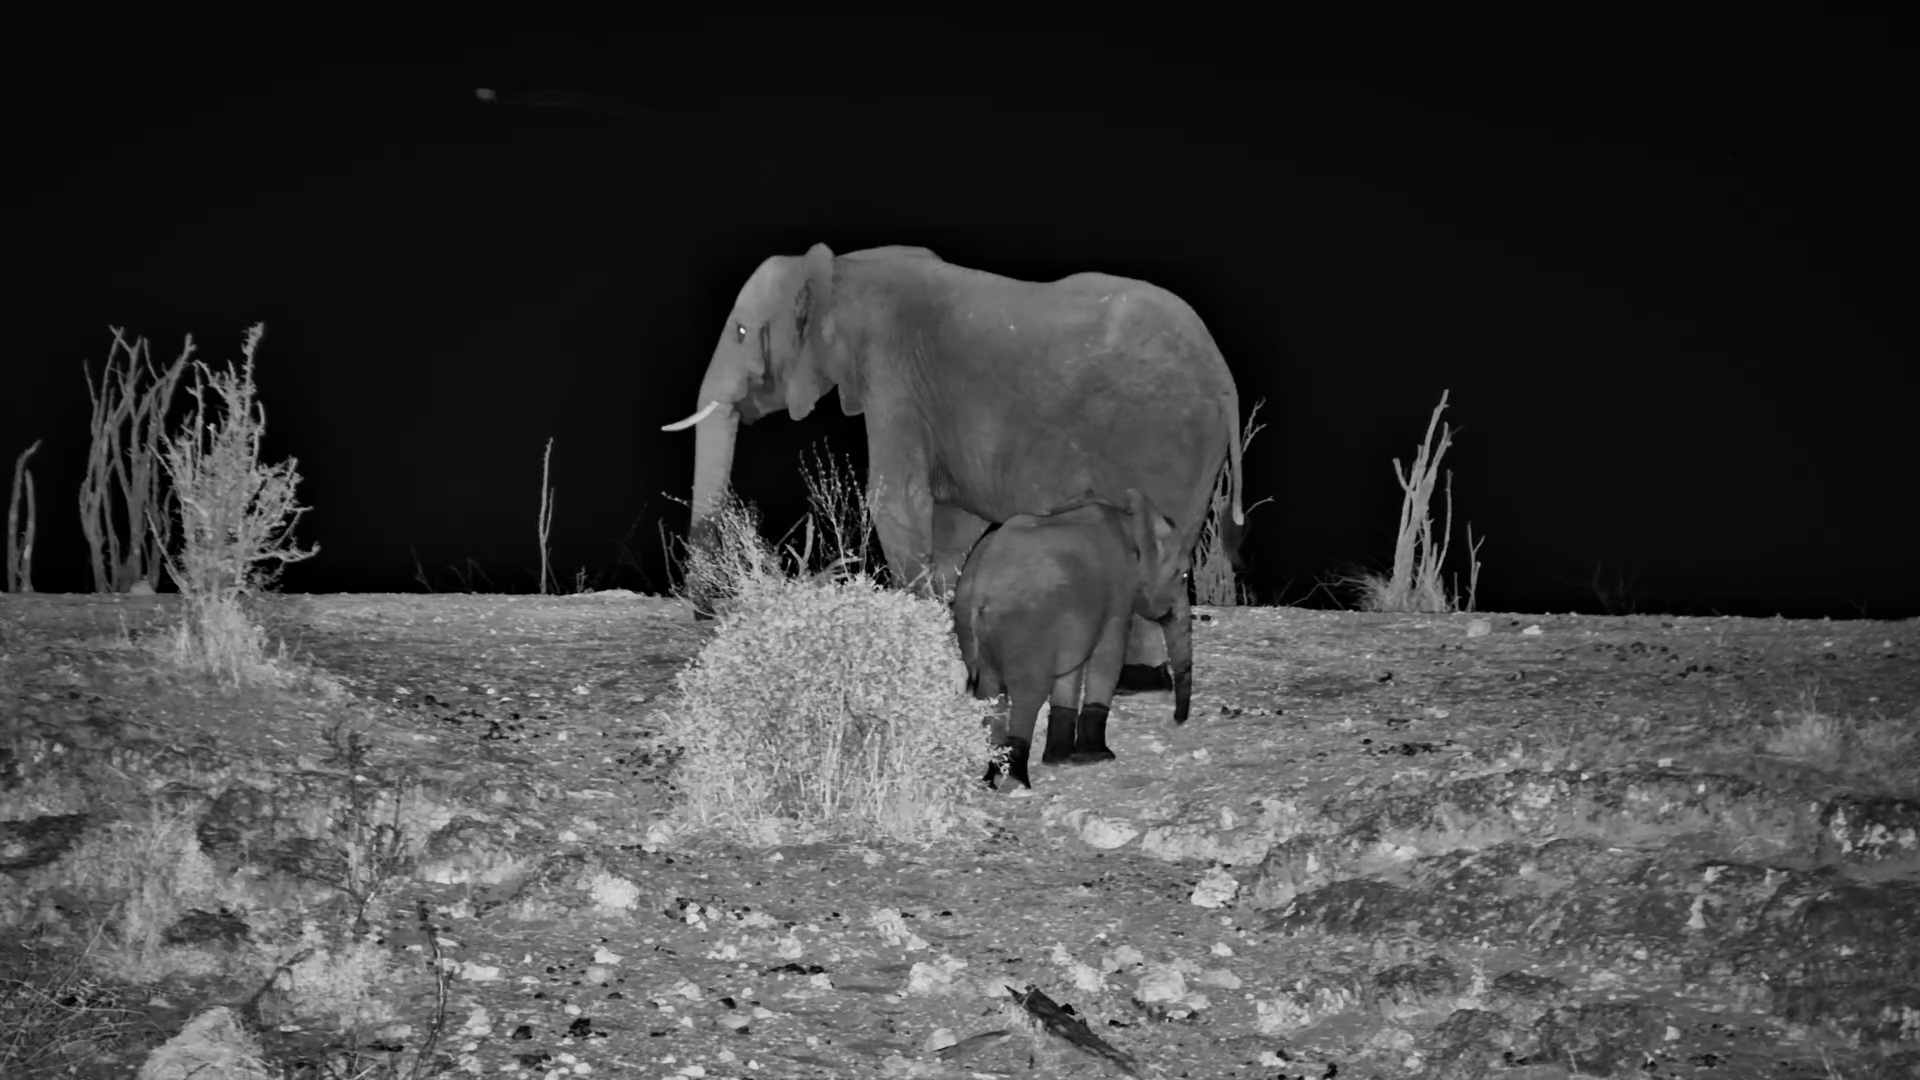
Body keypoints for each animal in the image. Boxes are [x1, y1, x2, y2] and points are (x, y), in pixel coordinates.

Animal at [662, 243, 1245, 701]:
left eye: (742, 330)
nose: (704, 612)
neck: (844, 270)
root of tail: (1226, 380)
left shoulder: (891, 374)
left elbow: (897, 501)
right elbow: (952, 519)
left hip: (1158, 437)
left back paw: (1133, 681)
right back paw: (1140, 681)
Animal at [952, 489, 1183, 791]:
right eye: (1181, 574)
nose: (1178, 720)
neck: (1126, 517)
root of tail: (980, 587)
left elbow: (1070, 671)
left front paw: (1060, 759)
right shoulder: (1119, 591)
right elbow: (1108, 654)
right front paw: (1098, 757)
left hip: (972, 626)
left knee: (990, 694)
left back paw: (993, 779)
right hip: (1026, 627)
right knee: (1028, 694)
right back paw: (1015, 782)